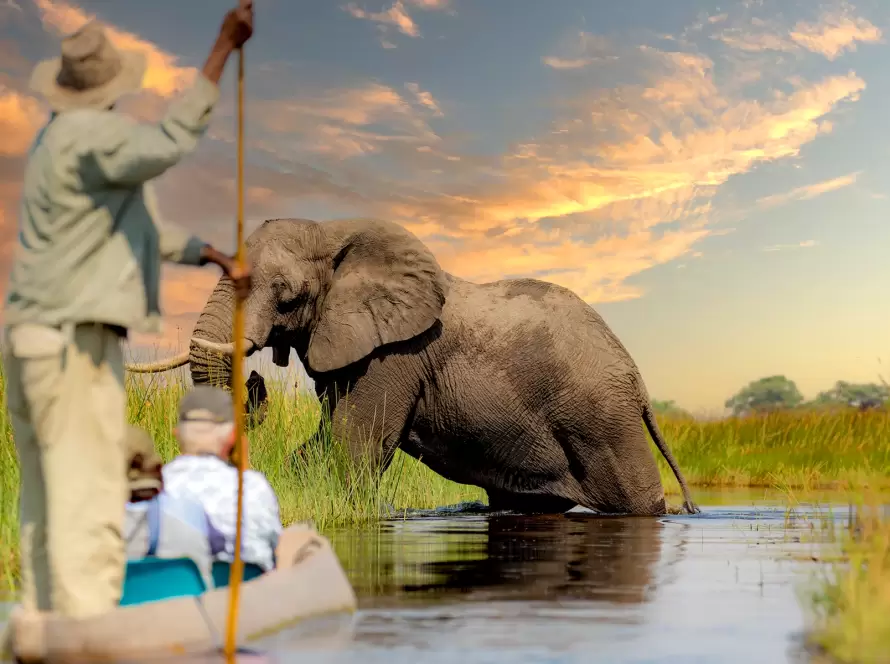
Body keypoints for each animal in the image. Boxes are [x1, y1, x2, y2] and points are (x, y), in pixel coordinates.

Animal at [126, 217, 700, 516]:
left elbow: (354, 445)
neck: (334, 232)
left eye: (286, 294)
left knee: (636, 500)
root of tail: (638, 380)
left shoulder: (393, 357)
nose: (255, 378)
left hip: (601, 421)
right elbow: (322, 441)